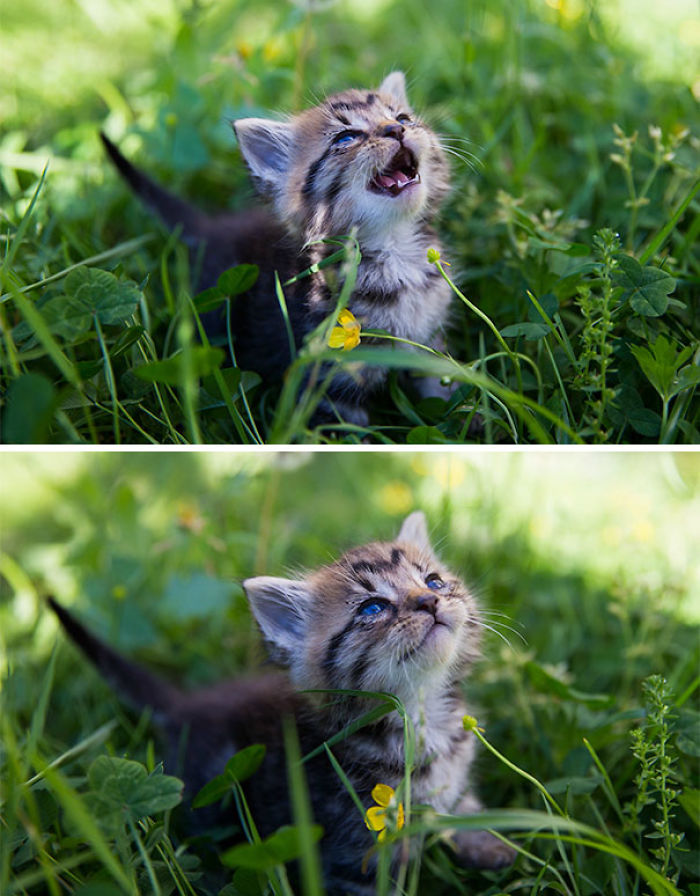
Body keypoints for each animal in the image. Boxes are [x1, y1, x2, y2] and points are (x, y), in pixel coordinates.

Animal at [49, 516, 516, 892]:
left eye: (433, 581)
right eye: (372, 607)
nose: (430, 601)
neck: (422, 714)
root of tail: (188, 705)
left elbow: (462, 805)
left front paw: (489, 842)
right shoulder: (358, 848)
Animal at [102, 72, 454, 426]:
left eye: (403, 118)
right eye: (345, 138)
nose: (396, 130)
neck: (395, 250)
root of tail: (213, 226)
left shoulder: (430, 341)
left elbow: (443, 388)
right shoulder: (329, 382)